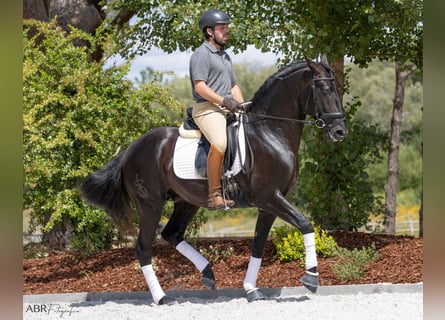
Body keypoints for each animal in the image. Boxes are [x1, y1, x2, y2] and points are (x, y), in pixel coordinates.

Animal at [79, 55, 346, 304]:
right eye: (324, 89)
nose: (340, 132)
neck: (270, 132)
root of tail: (131, 150)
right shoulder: (270, 198)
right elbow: (305, 224)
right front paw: (311, 278)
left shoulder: (268, 205)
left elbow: (259, 244)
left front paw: (251, 289)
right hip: (150, 206)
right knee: (143, 248)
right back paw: (161, 297)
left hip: (186, 202)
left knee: (172, 234)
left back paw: (207, 274)